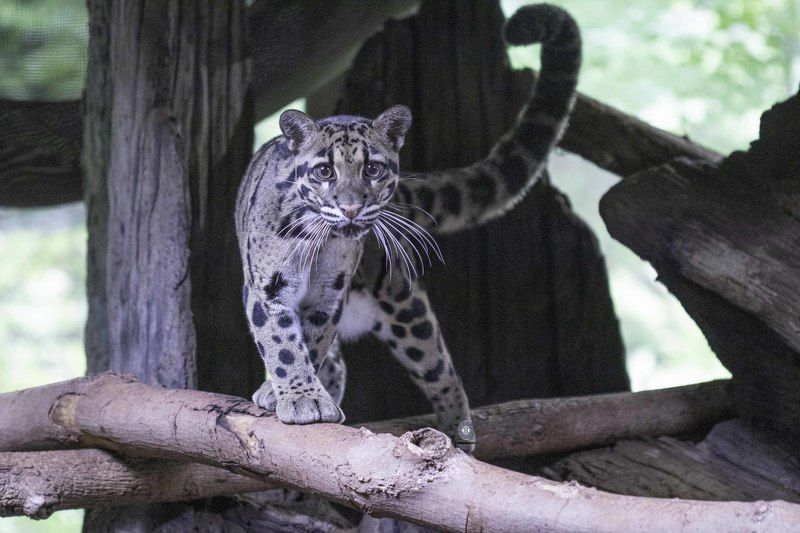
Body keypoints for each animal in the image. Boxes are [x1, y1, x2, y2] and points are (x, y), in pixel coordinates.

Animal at [235, 3, 581, 451]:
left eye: (373, 168)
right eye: (325, 170)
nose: (351, 207)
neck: (318, 242)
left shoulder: (329, 294)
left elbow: (310, 340)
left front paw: (296, 395)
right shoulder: (267, 286)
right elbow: (282, 343)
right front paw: (299, 396)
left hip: (402, 299)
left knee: (441, 368)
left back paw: (458, 433)